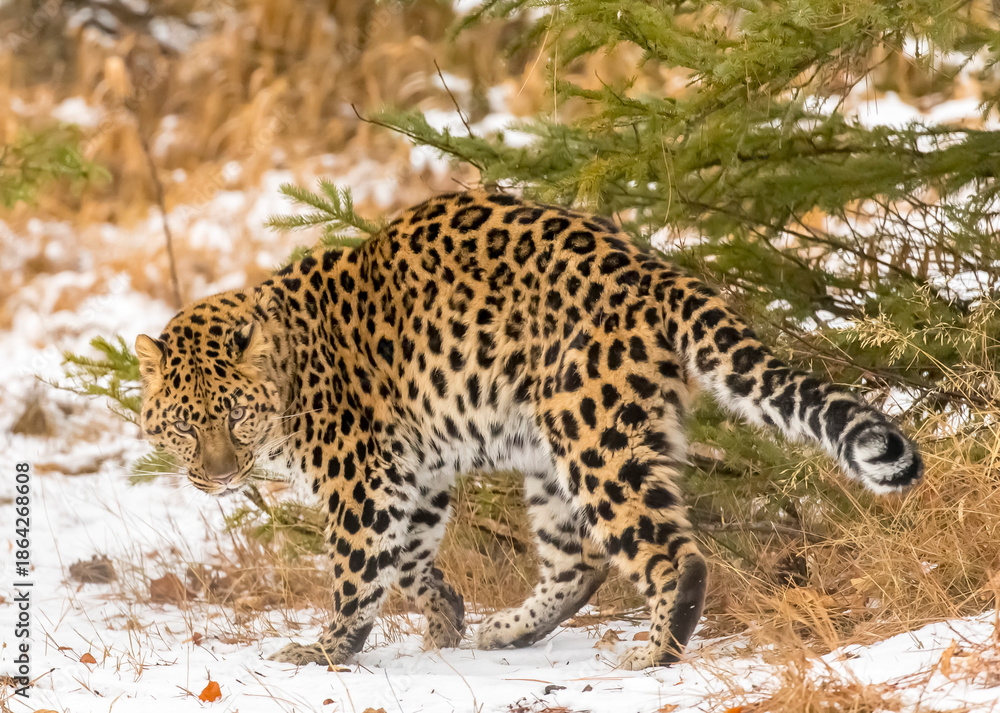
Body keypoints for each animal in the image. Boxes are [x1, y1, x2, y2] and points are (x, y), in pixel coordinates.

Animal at [135, 190, 922, 670]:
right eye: (183, 427)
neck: (293, 366)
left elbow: (359, 572)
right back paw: (509, 629)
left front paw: (325, 652)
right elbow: (410, 561)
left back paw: (655, 653)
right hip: (553, 450)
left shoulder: (362, 481)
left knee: (671, 553)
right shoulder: (415, 472)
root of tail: (653, 269)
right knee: (582, 560)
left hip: (594, 435)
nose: (217, 477)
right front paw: (445, 622)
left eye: (236, 416)